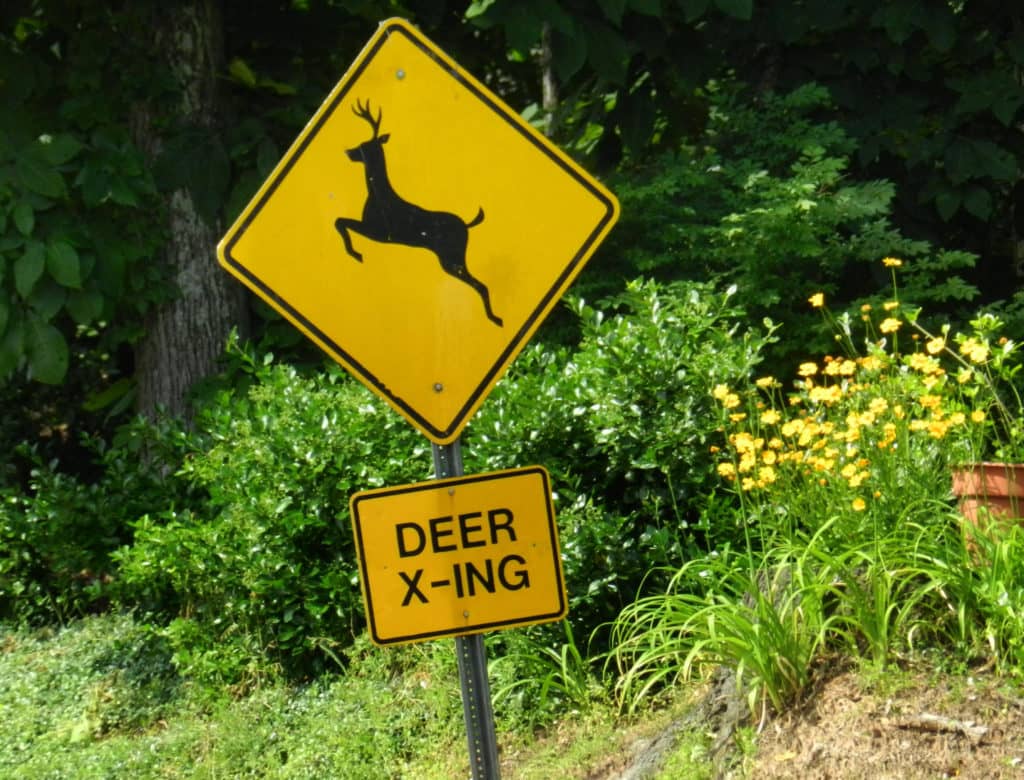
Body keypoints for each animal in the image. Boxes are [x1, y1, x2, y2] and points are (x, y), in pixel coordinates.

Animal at [335, 100, 503, 327]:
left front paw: (355, 254)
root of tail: (467, 225)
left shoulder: (378, 232)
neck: (377, 194)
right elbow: (340, 221)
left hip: (452, 257)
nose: (347, 152)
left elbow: (340, 222)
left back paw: (495, 319)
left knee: (481, 285)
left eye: (362, 146)